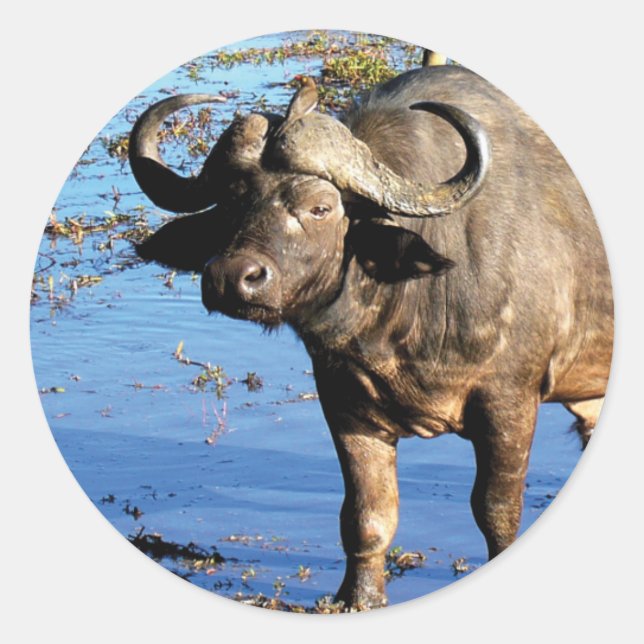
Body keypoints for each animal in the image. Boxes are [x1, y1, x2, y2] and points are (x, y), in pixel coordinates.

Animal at [129, 63, 613, 609]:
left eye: (320, 207)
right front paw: (358, 597)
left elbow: (495, 510)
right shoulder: (346, 404)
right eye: (231, 203)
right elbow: (367, 515)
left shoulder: (509, 401)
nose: (232, 278)